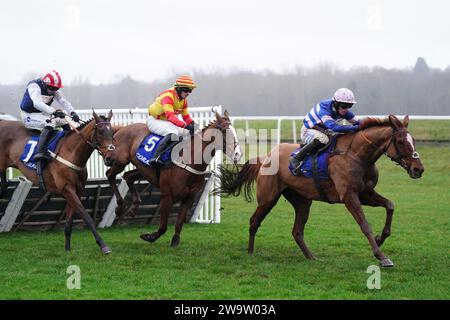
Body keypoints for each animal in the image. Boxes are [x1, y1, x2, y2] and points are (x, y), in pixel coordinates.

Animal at [0, 111, 118, 254]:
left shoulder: (77, 191)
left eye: (113, 132)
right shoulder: (67, 189)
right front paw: (103, 245)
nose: (111, 158)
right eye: (100, 132)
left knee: (3, 188)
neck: (71, 152)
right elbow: (86, 217)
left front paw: (67, 249)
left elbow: (69, 223)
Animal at [104, 110, 243, 248]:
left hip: (142, 169)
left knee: (128, 176)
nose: (238, 154)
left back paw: (133, 207)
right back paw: (120, 206)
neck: (189, 159)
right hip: (119, 161)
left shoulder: (189, 198)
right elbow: (163, 226)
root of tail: (122, 128)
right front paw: (149, 237)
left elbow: (179, 223)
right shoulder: (167, 196)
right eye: (225, 131)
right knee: (109, 174)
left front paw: (175, 241)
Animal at [218, 115, 426, 268]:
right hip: (268, 198)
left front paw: (381, 238)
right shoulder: (349, 196)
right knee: (254, 221)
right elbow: (364, 224)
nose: (418, 169)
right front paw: (382, 257)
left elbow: (390, 205)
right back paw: (250, 252)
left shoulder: (365, 194)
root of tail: (266, 157)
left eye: (414, 140)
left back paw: (311, 257)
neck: (356, 155)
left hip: (302, 201)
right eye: (401, 141)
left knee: (297, 231)